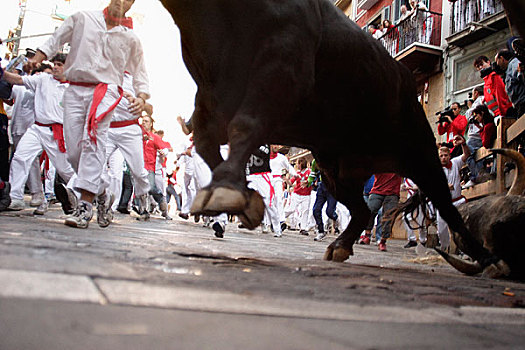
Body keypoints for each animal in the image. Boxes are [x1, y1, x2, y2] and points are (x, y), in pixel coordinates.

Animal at [159, 0, 504, 276]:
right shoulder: (212, 96)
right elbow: (206, 141)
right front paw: (242, 195)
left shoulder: (282, 70)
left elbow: (245, 125)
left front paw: (226, 191)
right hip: (336, 170)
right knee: (362, 209)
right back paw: (340, 245)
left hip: (421, 153)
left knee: (446, 206)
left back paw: (487, 260)